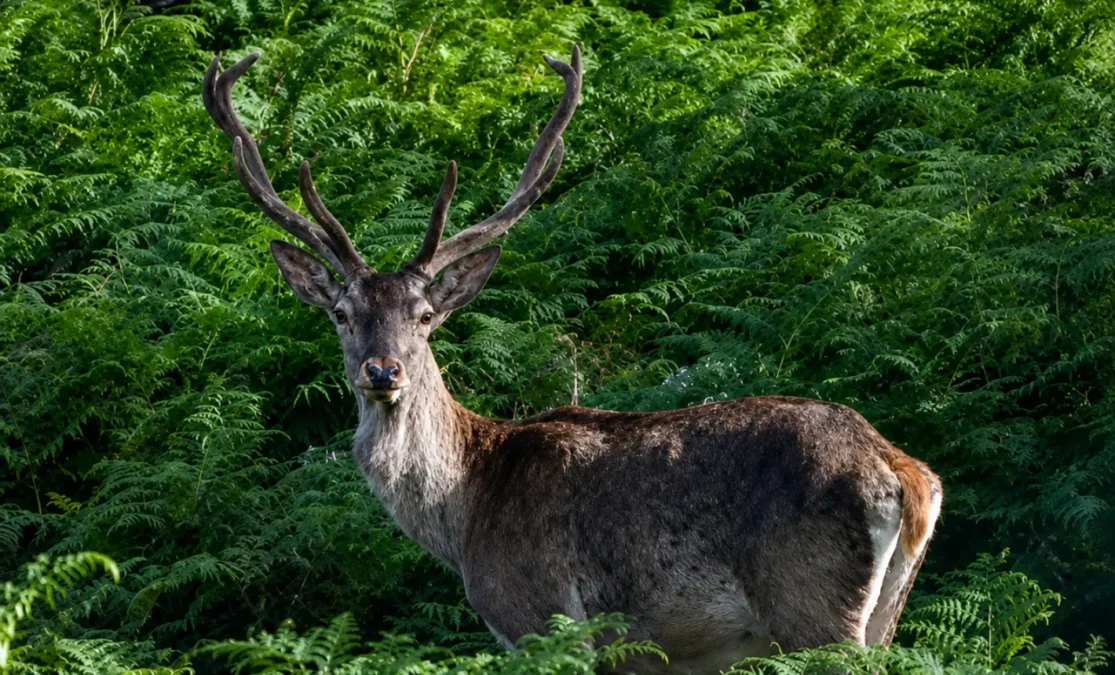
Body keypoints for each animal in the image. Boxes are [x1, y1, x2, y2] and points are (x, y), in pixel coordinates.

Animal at [202, 47, 942, 674]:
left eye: (425, 316)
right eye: (343, 314)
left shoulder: (544, 619)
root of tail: (903, 473)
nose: (383, 371)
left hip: (811, 605)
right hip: (885, 612)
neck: (467, 510)